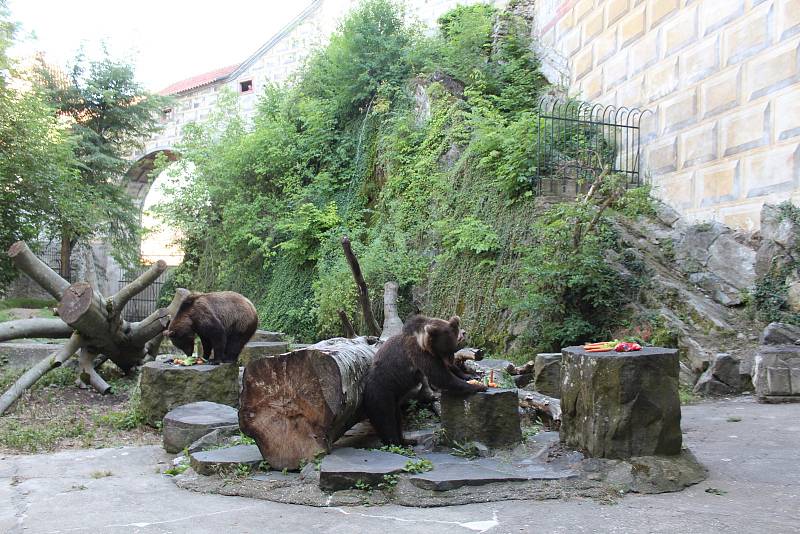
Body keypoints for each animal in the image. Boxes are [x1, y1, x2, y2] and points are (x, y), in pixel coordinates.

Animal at [364, 316, 488, 446]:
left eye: (453, 347)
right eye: (447, 348)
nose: (450, 359)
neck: (424, 342)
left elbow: (447, 370)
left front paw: (469, 376)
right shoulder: (418, 353)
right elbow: (440, 376)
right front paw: (479, 386)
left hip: (395, 396)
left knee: (397, 416)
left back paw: (407, 440)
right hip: (382, 391)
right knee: (386, 418)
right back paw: (395, 442)